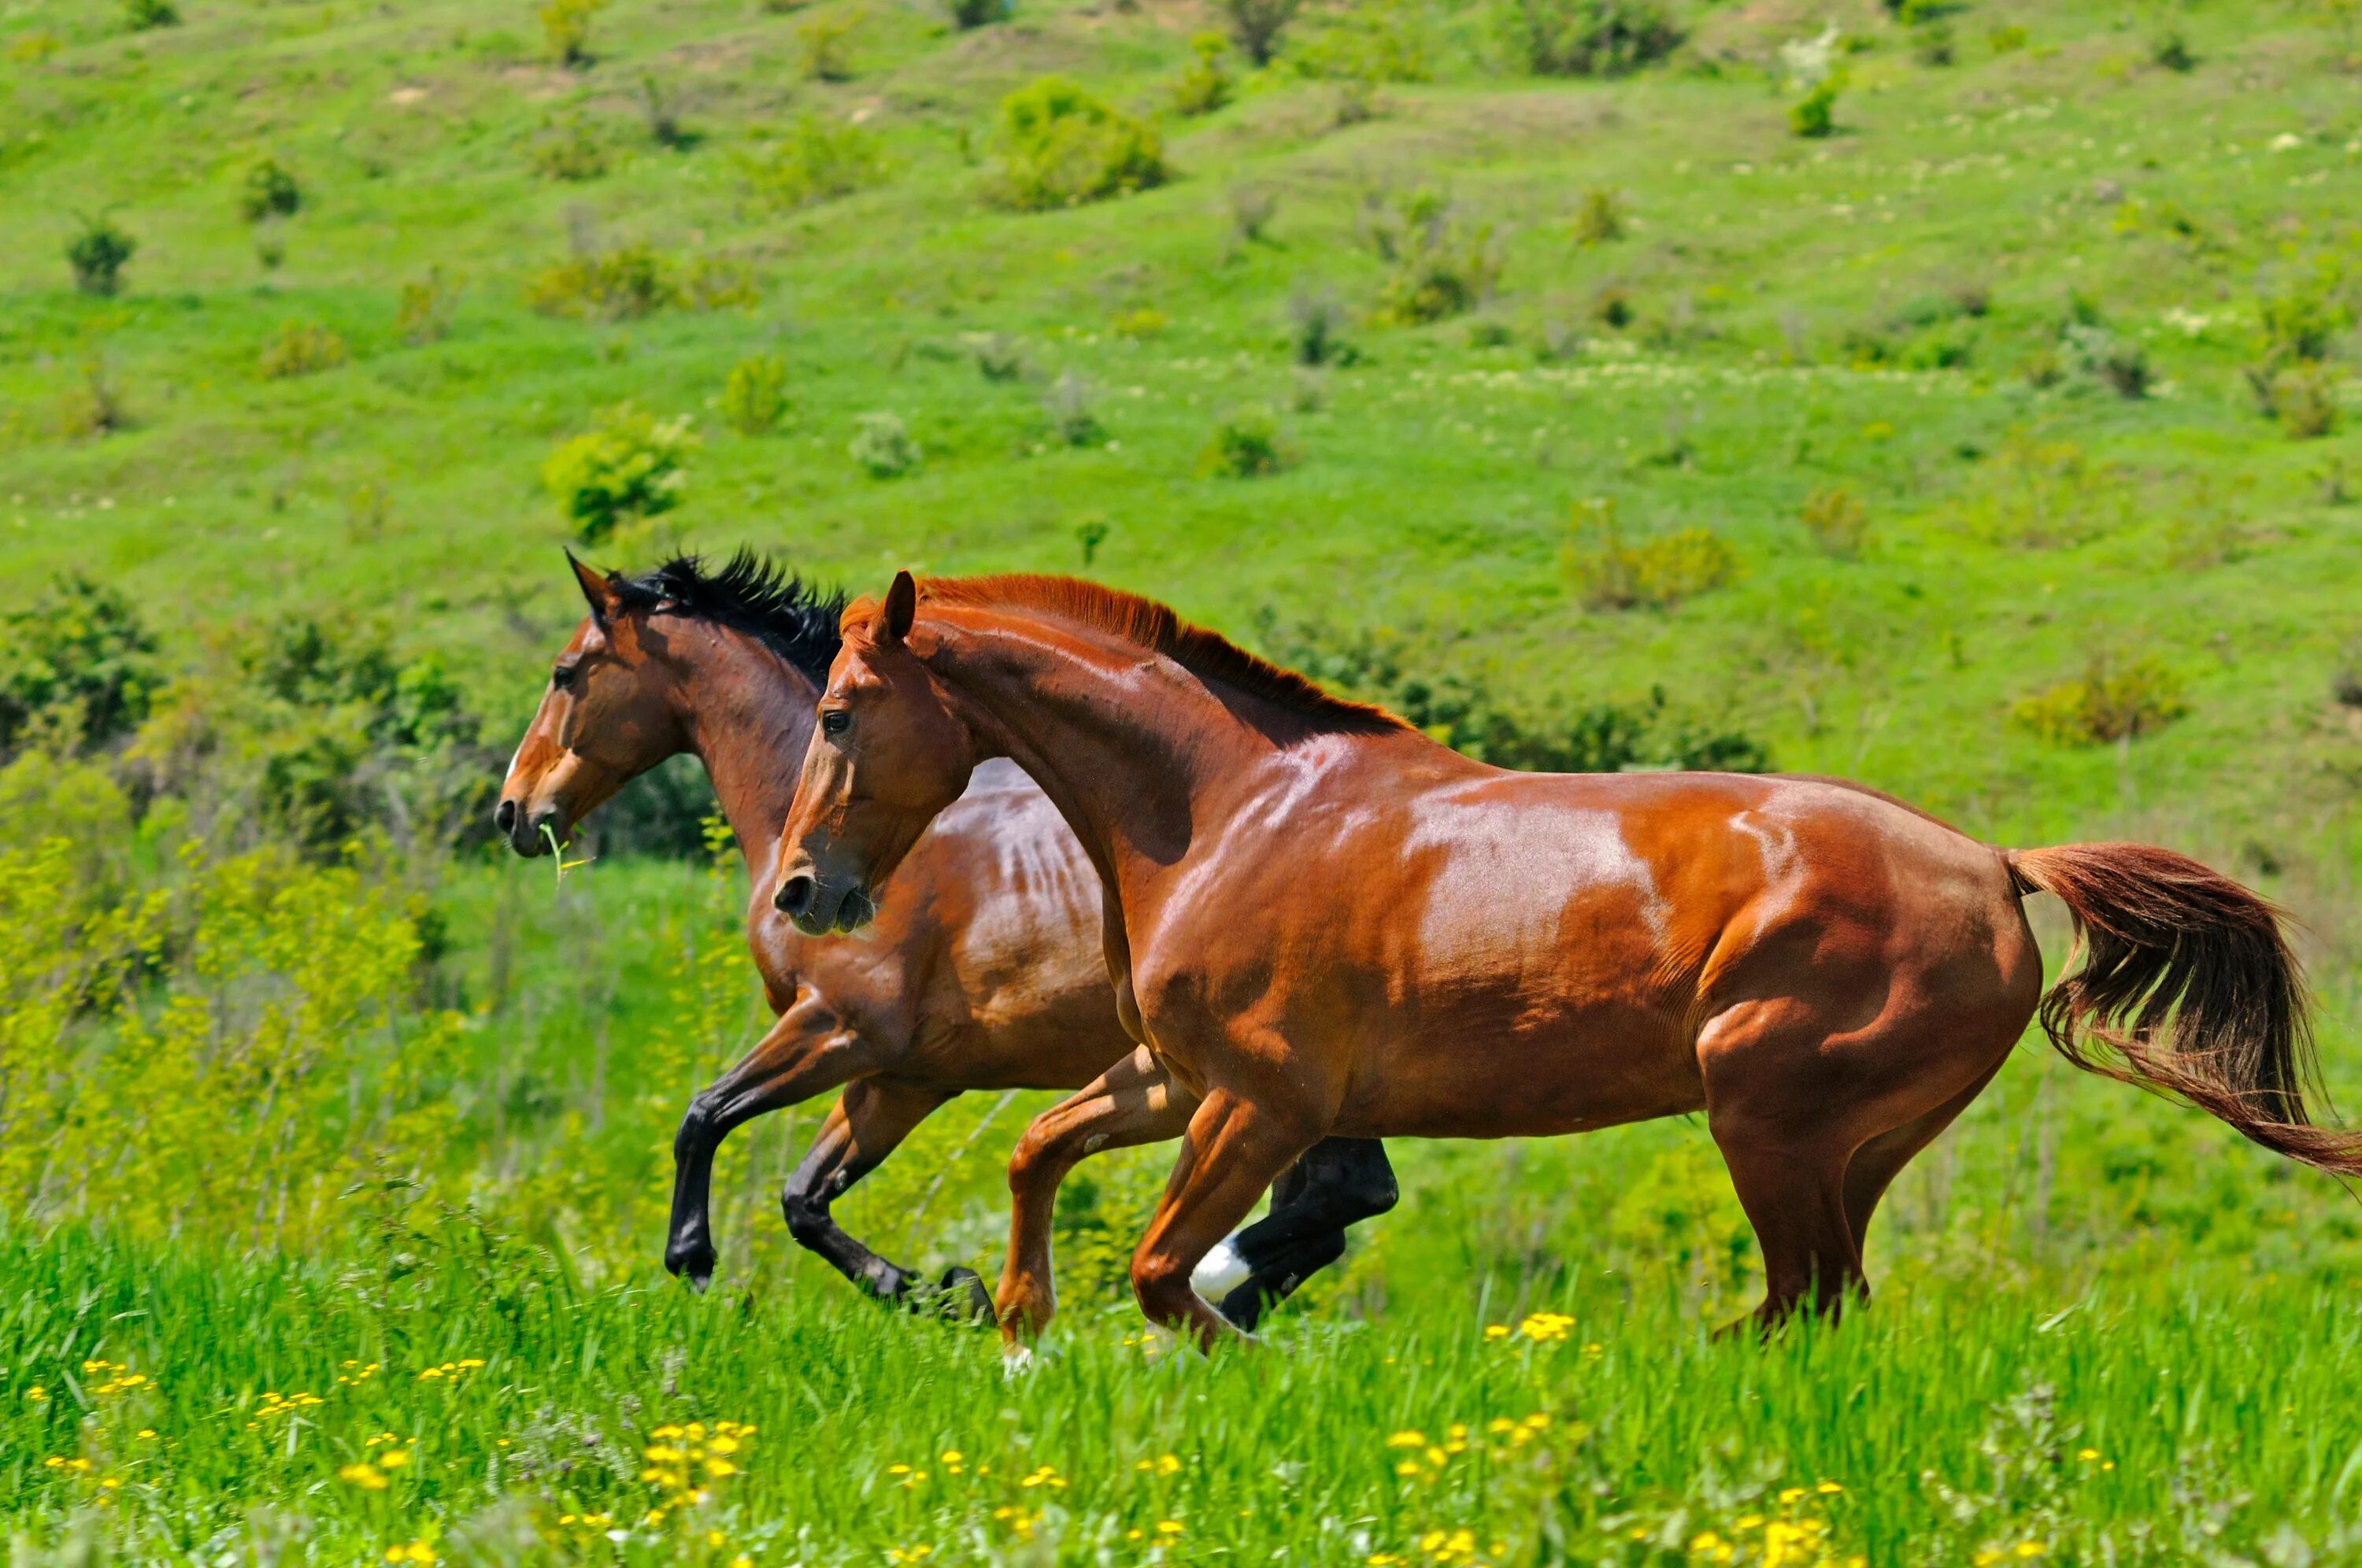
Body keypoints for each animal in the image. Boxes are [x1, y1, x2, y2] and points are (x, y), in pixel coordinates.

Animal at [491, 550, 1389, 1322]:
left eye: (564, 674)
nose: (512, 810)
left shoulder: (839, 1028)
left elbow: (704, 1117)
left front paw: (698, 1262)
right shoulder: (903, 1080)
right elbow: (803, 1199)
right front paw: (948, 1295)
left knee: (1344, 1196)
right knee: (1345, 1202)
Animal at [779, 574, 2362, 1351]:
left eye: (843, 711)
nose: (804, 886)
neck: (1229, 812)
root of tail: (1994, 863)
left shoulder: (1261, 1105)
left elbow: (1174, 1274)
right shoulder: (1175, 1080)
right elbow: (1037, 1153)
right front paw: (1014, 1331)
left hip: (1767, 1116)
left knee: (1800, 1305)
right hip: (1852, 1148)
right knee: (1826, 1307)